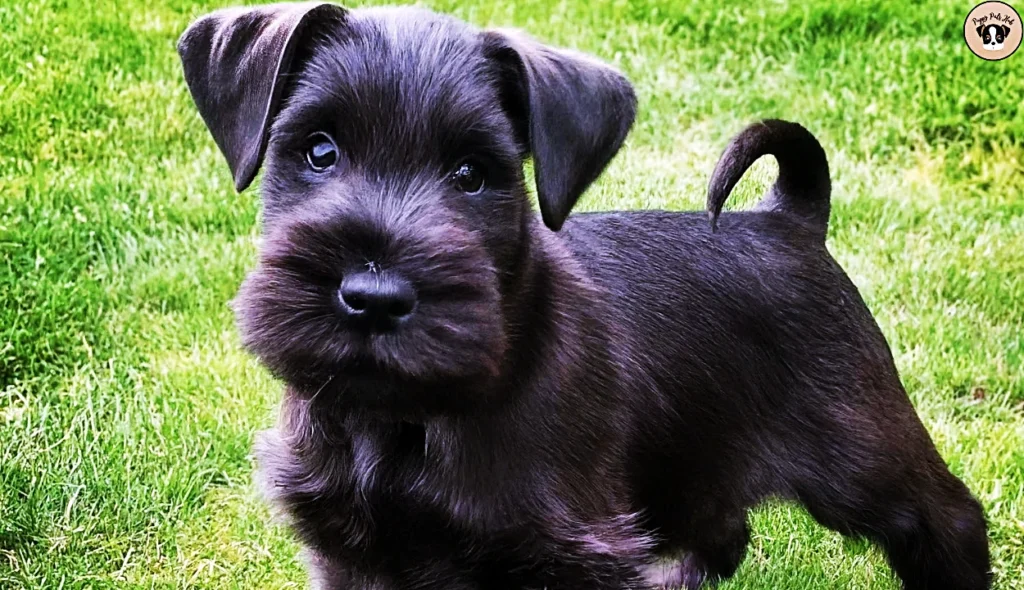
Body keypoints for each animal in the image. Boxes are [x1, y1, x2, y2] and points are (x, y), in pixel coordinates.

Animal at [178, 2, 991, 585]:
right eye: (319, 149)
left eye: (472, 173)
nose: (373, 299)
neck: (407, 419)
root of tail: (788, 219)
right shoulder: (349, 548)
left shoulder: (570, 550)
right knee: (723, 531)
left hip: (864, 457)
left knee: (950, 519)